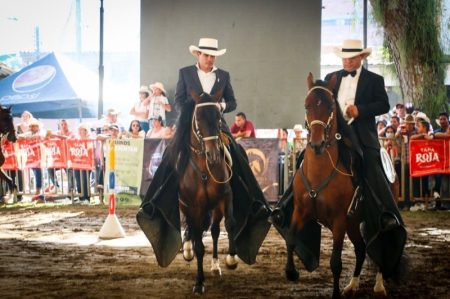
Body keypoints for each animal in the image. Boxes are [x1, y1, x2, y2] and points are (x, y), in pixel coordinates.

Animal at [178, 92, 239, 296]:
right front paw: (199, 282)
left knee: (214, 231)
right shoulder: (194, 207)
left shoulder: (225, 197)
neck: (204, 169)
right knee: (191, 228)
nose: (213, 155)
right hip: (186, 207)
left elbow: (229, 224)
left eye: (218, 118)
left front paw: (231, 259)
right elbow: (198, 245)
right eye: (198, 119)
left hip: (215, 208)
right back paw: (188, 249)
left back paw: (215, 266)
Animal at [286, 74, 388, 298]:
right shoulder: (300, 211)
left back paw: (379, 285)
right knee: (361, 248)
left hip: (367, 221)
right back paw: (352, 285)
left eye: (331, 106)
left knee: (379, 247)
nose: (317, 144)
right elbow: (291, 238)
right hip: (353, 224)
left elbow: (335, 262)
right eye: (306, 105)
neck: (319, 173)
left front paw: (334, 293)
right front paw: (291, 272)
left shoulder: (339, 221)